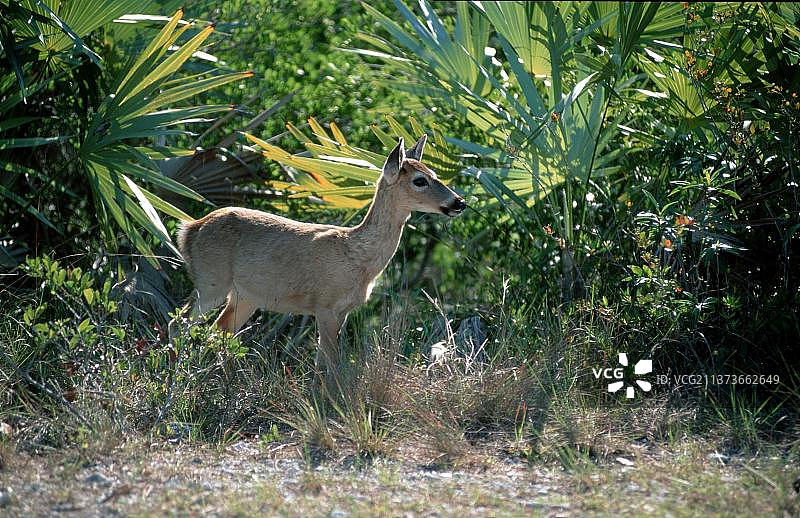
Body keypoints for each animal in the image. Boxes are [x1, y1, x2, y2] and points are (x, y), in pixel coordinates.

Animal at [168, 135, 466, 377]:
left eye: (435, 173)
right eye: (420, 180)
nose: (459, 202)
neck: (358, 256)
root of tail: (189, 230)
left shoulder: (342, 310)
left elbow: (323, 362)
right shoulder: (325, 305)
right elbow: (330, 363)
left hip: (245, 296)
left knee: (219, 330)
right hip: (211, 280)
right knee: (179, 322)